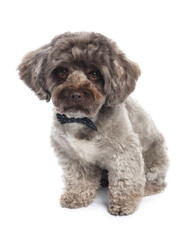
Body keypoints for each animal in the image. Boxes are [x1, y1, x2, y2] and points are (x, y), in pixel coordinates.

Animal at [18, 32, 169, 216]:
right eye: (61, 71)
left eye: (95, 73)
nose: (76, 94)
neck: (83, 119)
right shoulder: (73, 156)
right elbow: (79, 179)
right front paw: (76, 196)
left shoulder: (124, 151)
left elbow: (125, 178)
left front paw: (123, 203)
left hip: (155, 160)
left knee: (156, 181)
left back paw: (147, 188)